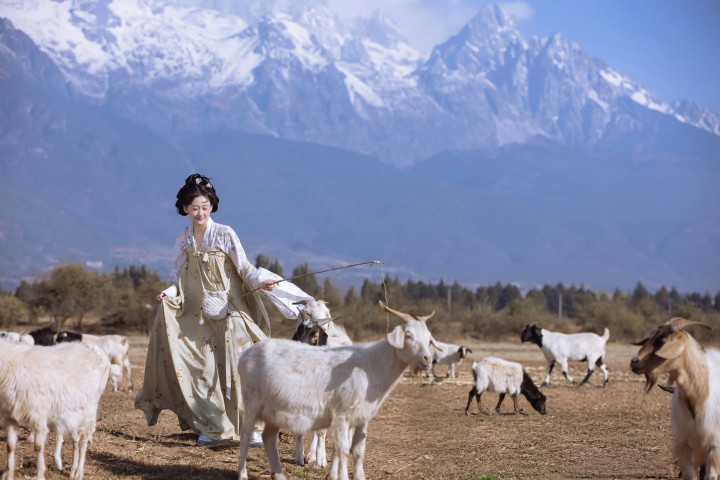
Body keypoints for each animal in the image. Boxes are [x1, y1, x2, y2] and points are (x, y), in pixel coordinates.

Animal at [0, 341, 110, 480]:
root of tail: (89, 351)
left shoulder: (39, 416)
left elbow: (38, 447)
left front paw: (40, 474)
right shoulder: (11, 417)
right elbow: (10, 446)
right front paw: (9, 474)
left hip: (89, 410)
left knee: (84, 440)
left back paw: (79, 472)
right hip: (73, 413)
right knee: (75, 440)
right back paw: (72, 471)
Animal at [236, 300, 439, 480]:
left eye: (429, 338)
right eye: (408, 336)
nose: (427, 359)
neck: (372, 365)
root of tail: (246, 355)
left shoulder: (361, 418)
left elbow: (357, 451)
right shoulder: (342, 416)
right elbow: (342, 450)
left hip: (273, 411)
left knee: (268, 438)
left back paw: (279, 475)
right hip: (251, 399)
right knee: (246, 434)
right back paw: (243, 474)